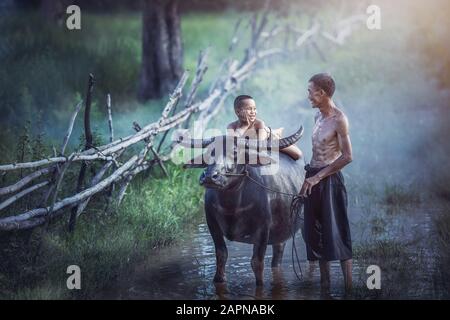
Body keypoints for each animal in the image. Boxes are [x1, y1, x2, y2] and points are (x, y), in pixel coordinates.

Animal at [181, 126, 304, 286]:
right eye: (209, 152)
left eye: (234, 152)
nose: (209, 177)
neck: (232, 207)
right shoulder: (212, 224)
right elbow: (221, 255)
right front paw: (218, 279)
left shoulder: (263, 229)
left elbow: (257, 262)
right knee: (278, 253)